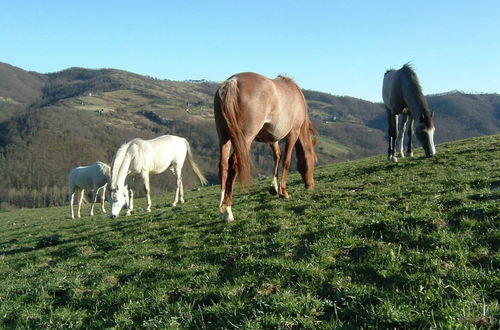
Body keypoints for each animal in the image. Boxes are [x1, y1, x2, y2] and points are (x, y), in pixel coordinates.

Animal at [214, 72, 316, 222]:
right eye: (314, 162)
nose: (310, 184)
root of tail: (232, 82)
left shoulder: (272, 138)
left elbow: (277, 156)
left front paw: (274, 187)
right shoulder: (293, 133)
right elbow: (286, 161)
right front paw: (283, 191)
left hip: (224, 137)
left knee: (223, 165)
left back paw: (221, 206)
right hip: (244, 138)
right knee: (234, 163)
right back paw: (228, 210)